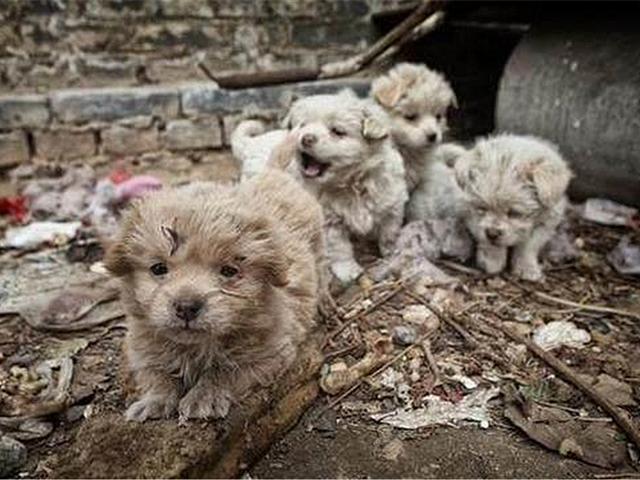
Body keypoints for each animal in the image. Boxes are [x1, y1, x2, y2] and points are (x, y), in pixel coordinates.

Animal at [107, 168, 324, 420]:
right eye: (158, 268)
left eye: (229, 271)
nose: (186, 307)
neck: (195, 347)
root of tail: (274, 173)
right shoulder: (142, 348)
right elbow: (155, 373)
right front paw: (154, 400)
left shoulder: (270, 354)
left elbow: (225, 371)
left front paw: (204, 397)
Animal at [412, 133, 572, 282]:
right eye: (482, 208)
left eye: (514, 213)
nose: (493, 233)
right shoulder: (474, 219)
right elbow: (490, 243)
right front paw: (492, 262)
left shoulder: (545, 224)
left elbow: (528, 247)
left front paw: (527, 268)